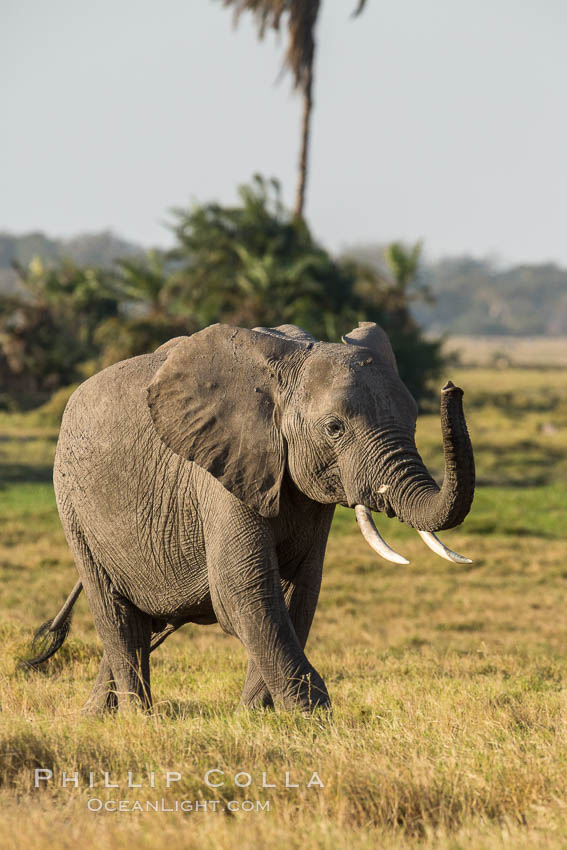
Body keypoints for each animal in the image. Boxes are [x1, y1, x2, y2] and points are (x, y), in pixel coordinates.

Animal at [23, 322, 474, 712]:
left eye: (414, 420)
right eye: (334, 428)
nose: (451, 388)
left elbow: (297, 593)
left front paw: (256, 716)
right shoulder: (222, 471)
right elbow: (244, 590)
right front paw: (314, 718)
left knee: (144, 623)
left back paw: (96, 716)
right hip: (72, 505)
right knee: (118, 619)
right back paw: (138, 718)